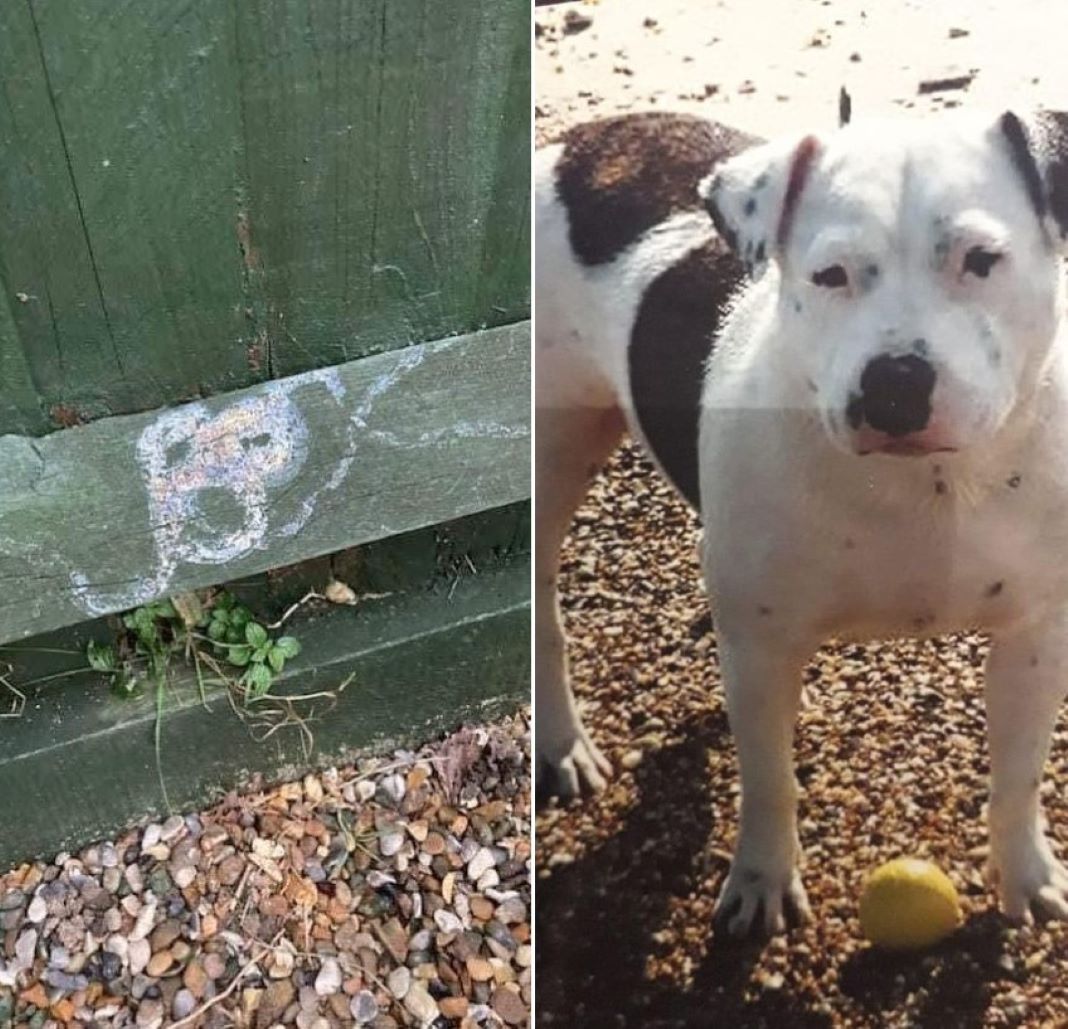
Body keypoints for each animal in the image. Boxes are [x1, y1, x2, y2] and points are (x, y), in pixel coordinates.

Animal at [538, 108, 1068, 936]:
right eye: (830, 275)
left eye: (981, 260)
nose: (895, 381)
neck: (925, 485)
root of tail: (584, 138)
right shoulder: (760, 652)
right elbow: (768, 779)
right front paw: (762, 878)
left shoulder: (1034, 637)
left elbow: (1019, 773)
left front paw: (1026, 876)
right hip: (551, 456)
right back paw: (562, 742)